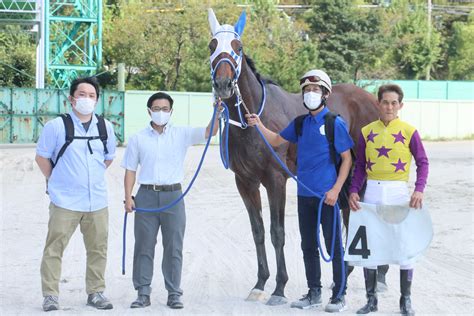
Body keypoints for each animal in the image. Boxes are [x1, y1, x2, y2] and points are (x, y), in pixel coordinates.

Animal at [207, 8, 378, 304]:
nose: (223, 84)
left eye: (238, 47)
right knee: (347, 215)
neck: (253, 120)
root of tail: (372, 100)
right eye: (212, 46)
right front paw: (260, 283)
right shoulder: (245, 182)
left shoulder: (275, 180)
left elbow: (277, 233)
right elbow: (258, 231)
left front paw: (279, 287)